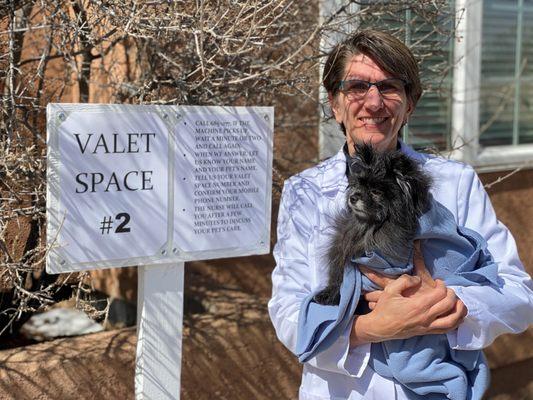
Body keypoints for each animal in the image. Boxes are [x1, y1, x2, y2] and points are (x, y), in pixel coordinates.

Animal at [312, 142, 432, 304]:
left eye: (376, 192)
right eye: (358, 184)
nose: (353, 197)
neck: (372, 226)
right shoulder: (342, 248)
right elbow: (338, 274)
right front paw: (328, 293)